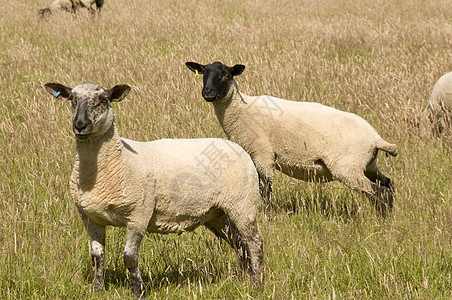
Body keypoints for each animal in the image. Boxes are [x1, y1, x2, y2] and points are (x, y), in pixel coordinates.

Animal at [44, 81, 264, 298]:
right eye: (72, 99)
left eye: (103, 100)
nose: (80, 125)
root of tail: (237, 147)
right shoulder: (90, 219)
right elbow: (97, 257)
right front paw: (97, 290)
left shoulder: (138, 214)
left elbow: (130, 258)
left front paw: (139, 292)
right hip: (217, 213)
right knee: (239, 243)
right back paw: (245, 276)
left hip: (243, 204)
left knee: (255, 242)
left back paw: (257, 282)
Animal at [185, 61, 398, 216]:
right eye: (203, 73)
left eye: (226, 74)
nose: (207, 92)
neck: (242, 110)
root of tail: (375, 138)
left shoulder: (263, 153)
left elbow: (265, 188)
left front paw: (266, 216)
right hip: (368, 164)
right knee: (388, 185)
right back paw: (388, 218)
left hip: (348, 167)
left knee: (378, 192)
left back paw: (382, 220)